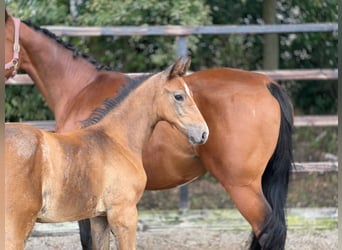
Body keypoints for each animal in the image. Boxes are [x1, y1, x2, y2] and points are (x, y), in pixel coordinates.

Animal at [4, 59, 208, 250]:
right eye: (179, 96)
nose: (204, 133)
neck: (117, 140)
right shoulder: (124, 214)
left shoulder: (99, 218)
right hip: (17, 226)